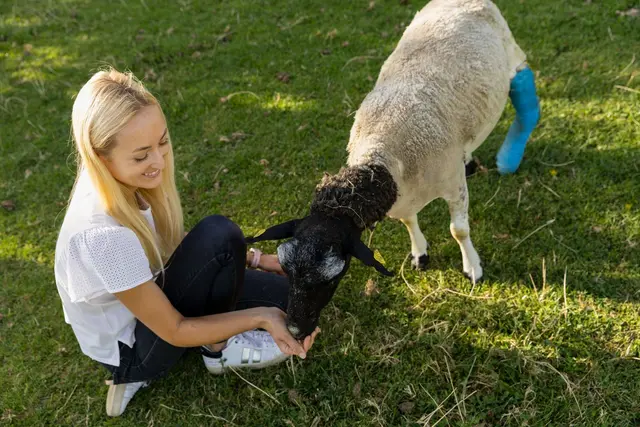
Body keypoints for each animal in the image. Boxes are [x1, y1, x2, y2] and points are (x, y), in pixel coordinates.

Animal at [247, 0, 540, 340]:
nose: (295, 329)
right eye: (284, 268)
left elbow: (459, 230)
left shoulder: (452, 185)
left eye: (334, 277)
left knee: (523, 86)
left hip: (512, 52)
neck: (381, 157)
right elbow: (409, 221)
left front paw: (472, 268)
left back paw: (512, 151)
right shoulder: (402, 197)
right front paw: (420, 254)